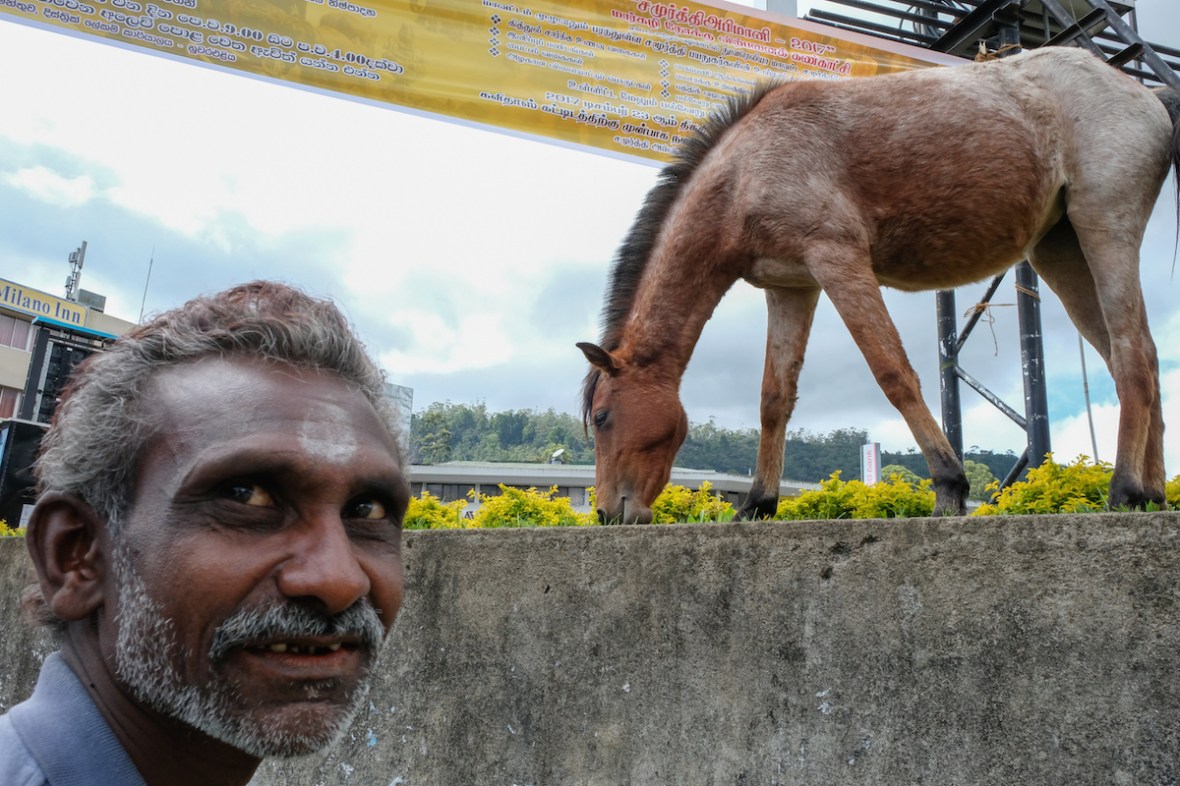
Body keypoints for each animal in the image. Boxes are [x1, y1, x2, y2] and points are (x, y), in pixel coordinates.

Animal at [579, 46, 1180, 525]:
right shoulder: (791, 286)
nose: (607, 513)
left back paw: (1125, 489)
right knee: (1138, 357)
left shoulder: (838, 260)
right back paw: (1151, 493)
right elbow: (775, 397)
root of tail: (1145, 93)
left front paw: (949, 486)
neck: (746, 170)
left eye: (603, 417)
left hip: (1104, 227)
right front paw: (758, 503)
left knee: (1131, 351)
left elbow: (894, 373)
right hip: (1060, 251)